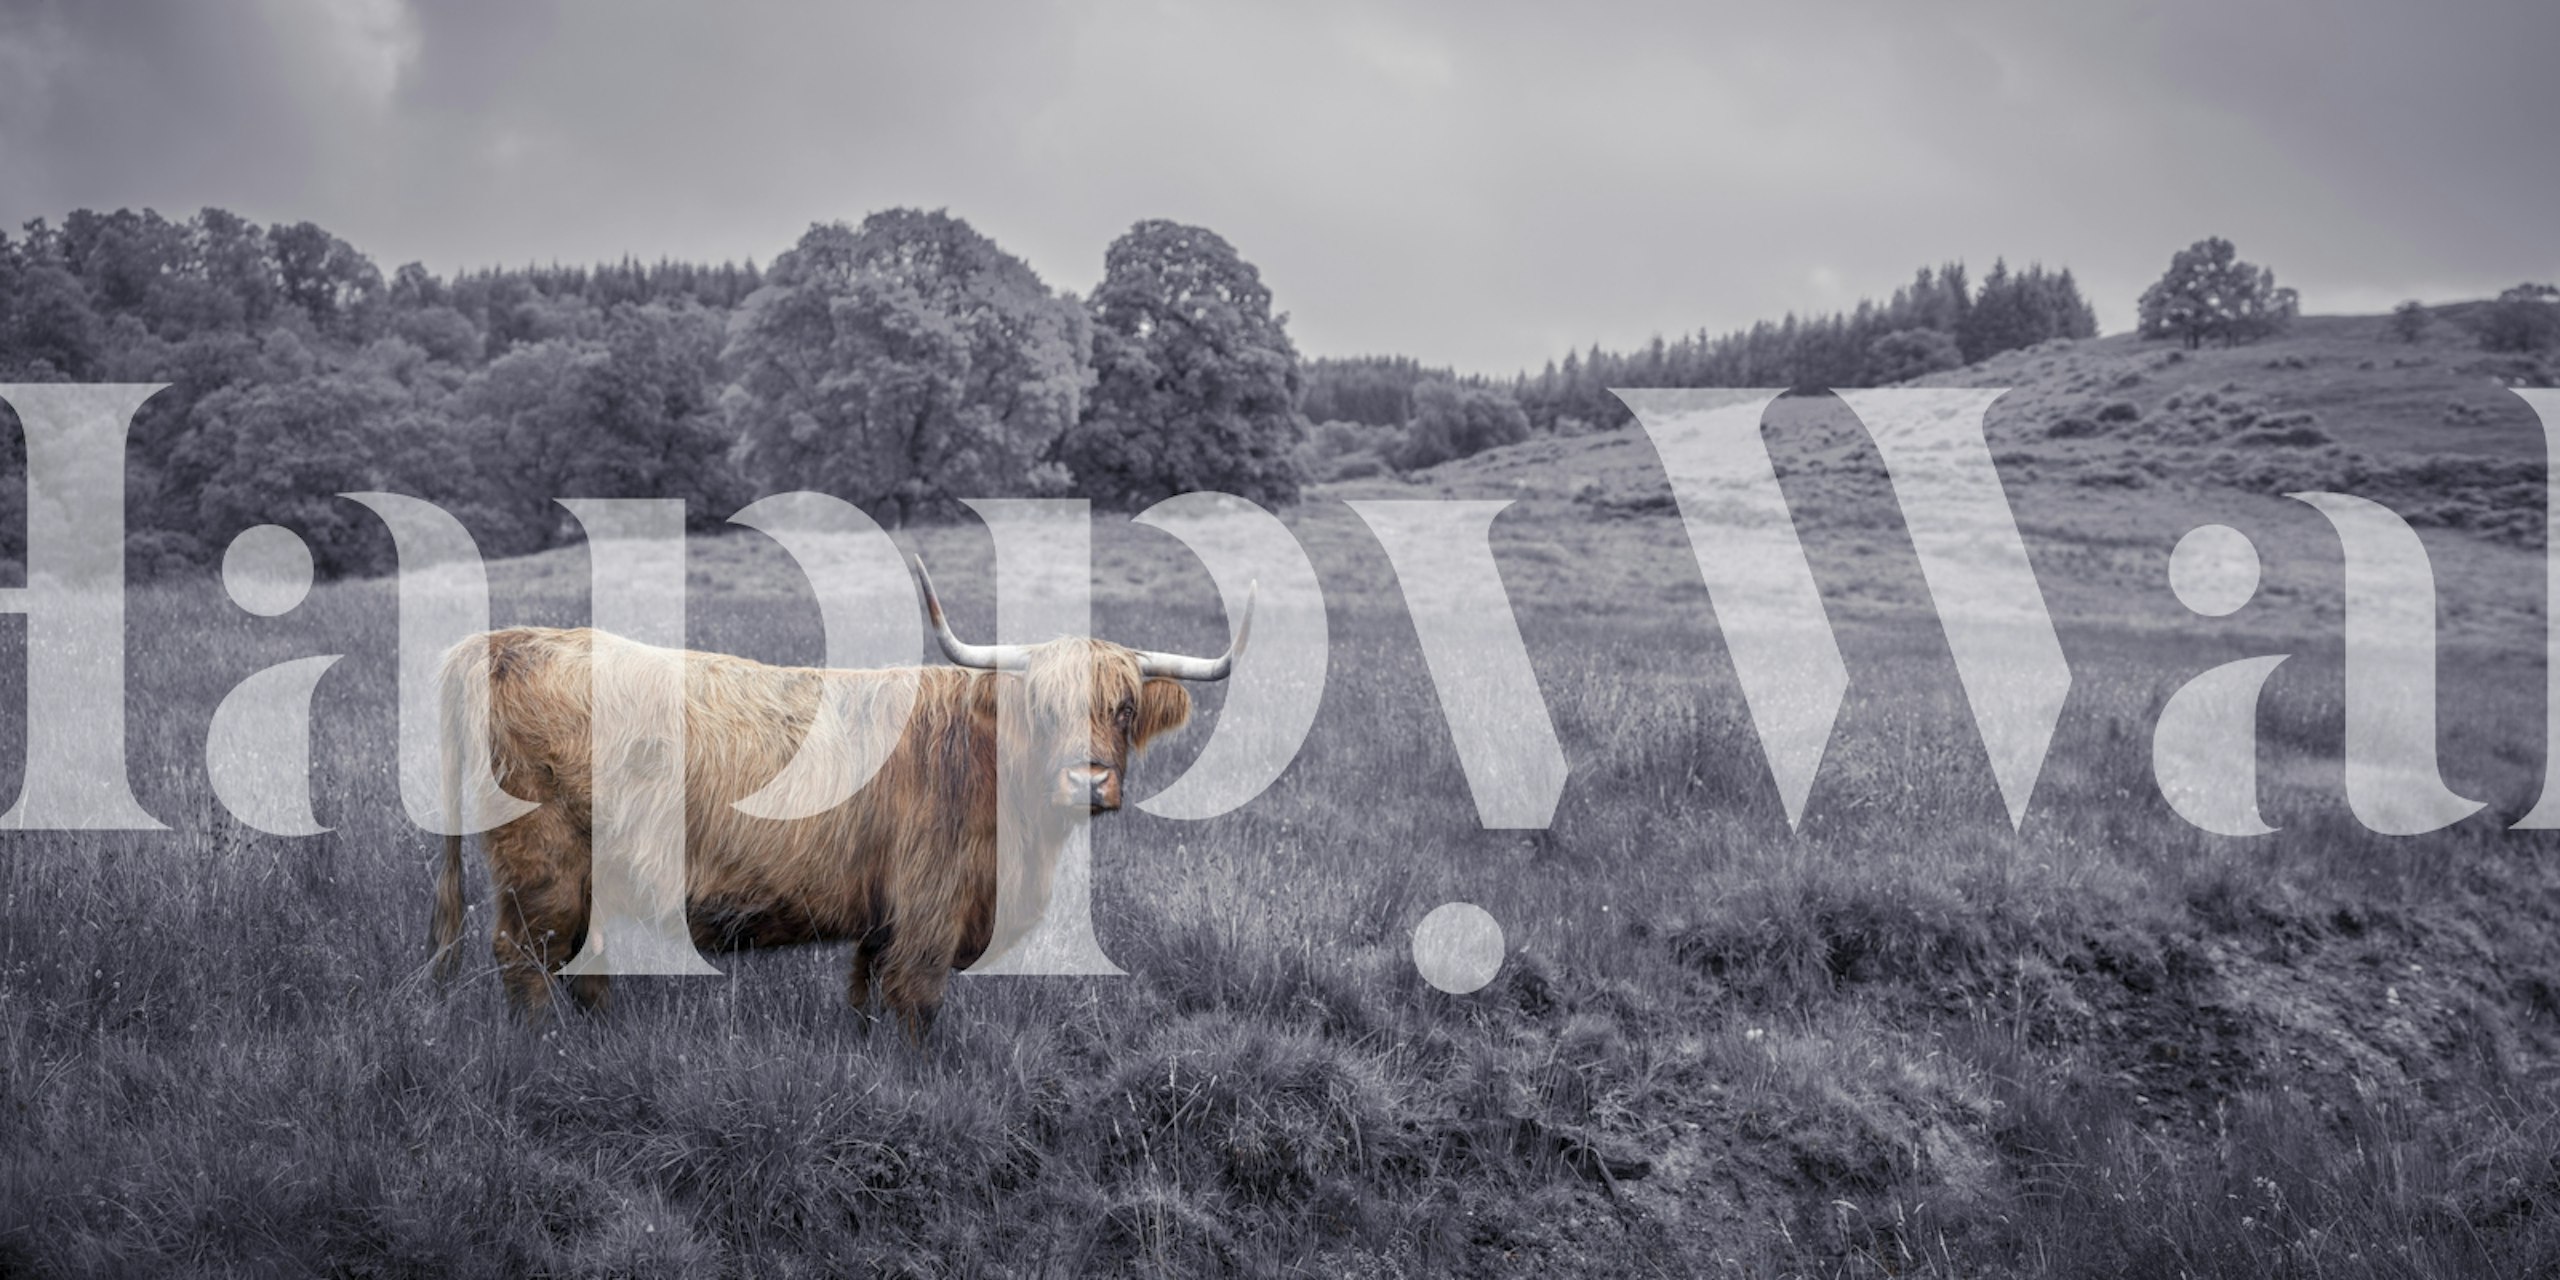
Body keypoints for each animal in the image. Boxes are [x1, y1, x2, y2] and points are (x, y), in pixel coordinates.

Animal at [429, 556, 1248, 1039]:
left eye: (1124, 709)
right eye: (1043, 708)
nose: (1088, 780)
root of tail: (502, 641)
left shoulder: (882, 914)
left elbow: (864, 991)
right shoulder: (928, 908)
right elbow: (916, 1002)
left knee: (580, 958)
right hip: (544, 862)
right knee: (526, 956)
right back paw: (549, 1049)